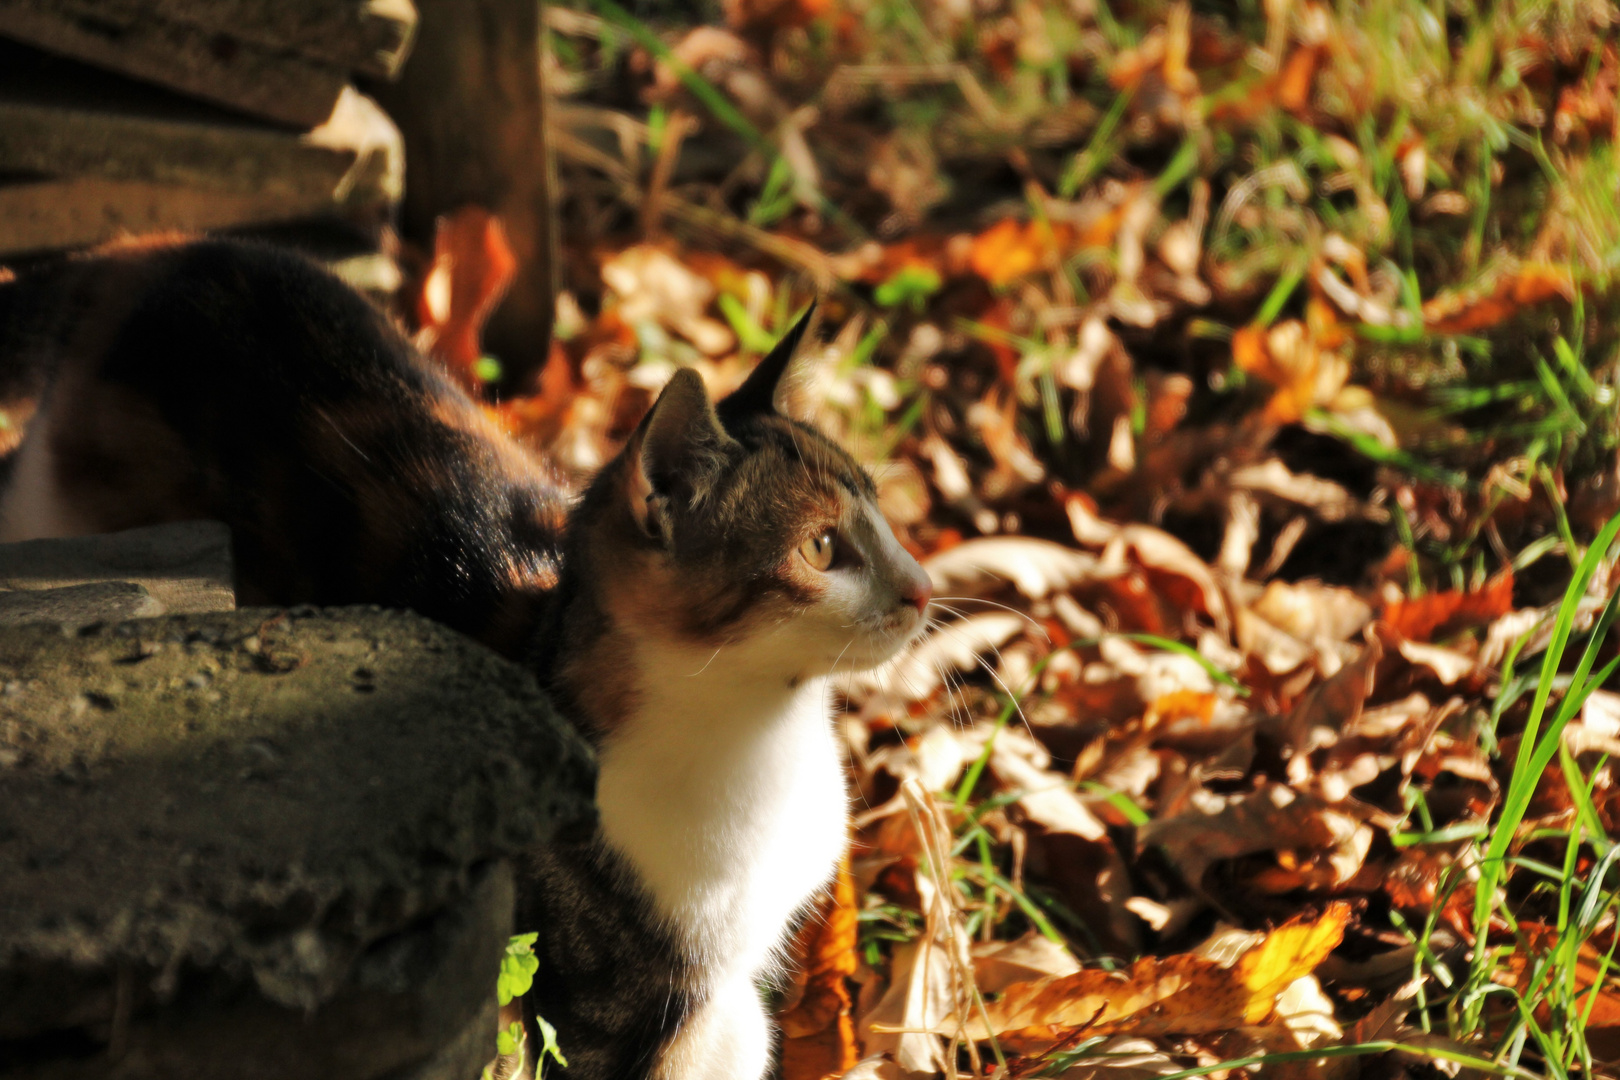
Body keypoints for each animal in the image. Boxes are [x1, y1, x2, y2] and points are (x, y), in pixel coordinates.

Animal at [0, 238, 933, 1080]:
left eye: (883, 516)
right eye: (821, 548)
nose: (925, 586)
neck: (767, 733)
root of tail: (153, 257)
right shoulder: (619, 1006)